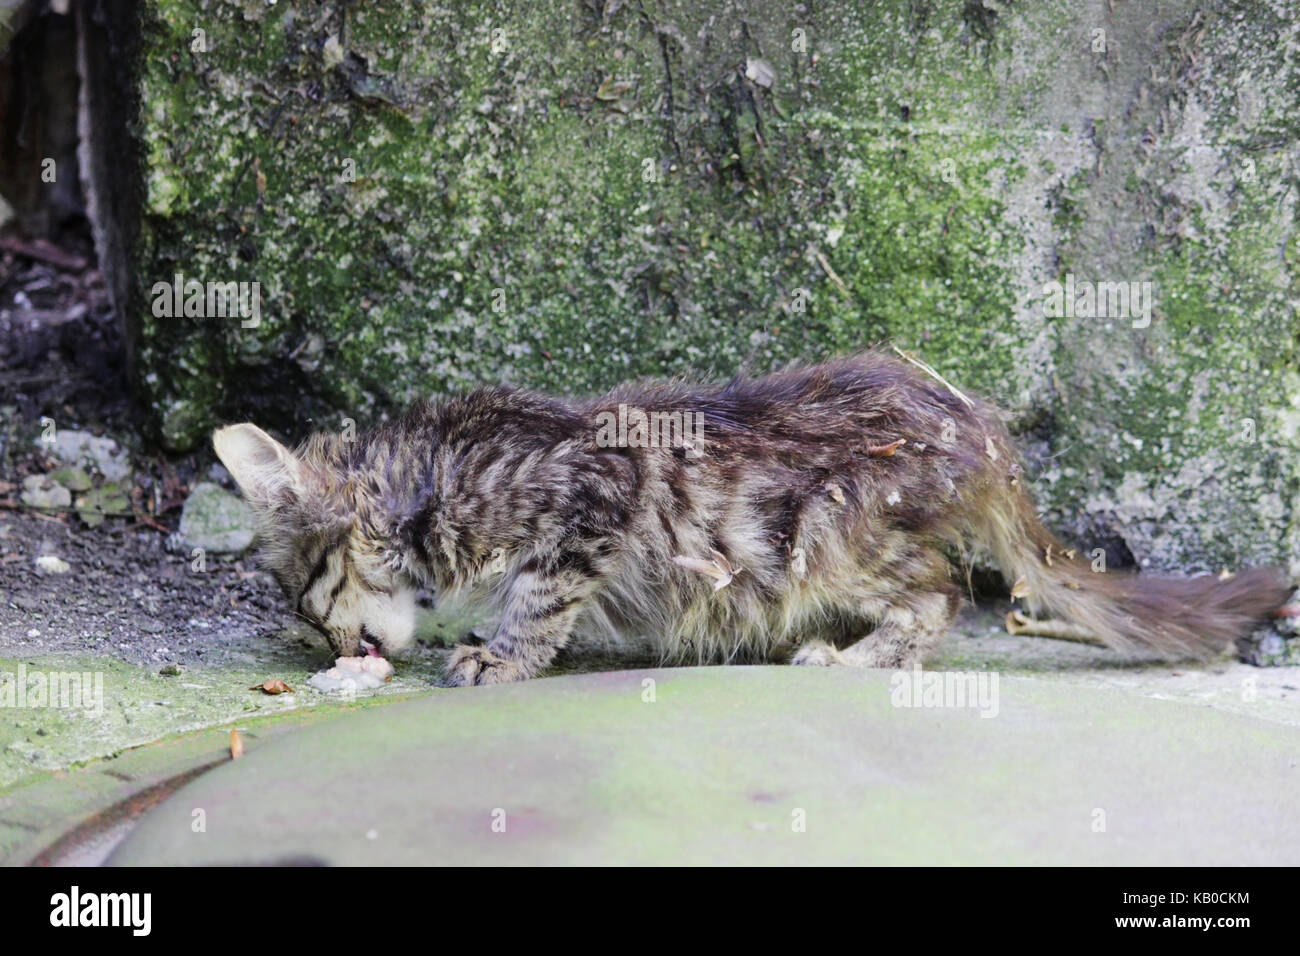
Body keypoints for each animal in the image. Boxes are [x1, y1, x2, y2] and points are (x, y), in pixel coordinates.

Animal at [213, 351, 1289, 686]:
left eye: (305, 595)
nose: (334, 648)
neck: (430, 477)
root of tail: (979, 428)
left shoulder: (589, 491)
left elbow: (540, 596)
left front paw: (499, 656)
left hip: (831, 539)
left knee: (942, 593)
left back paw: (851, 656)